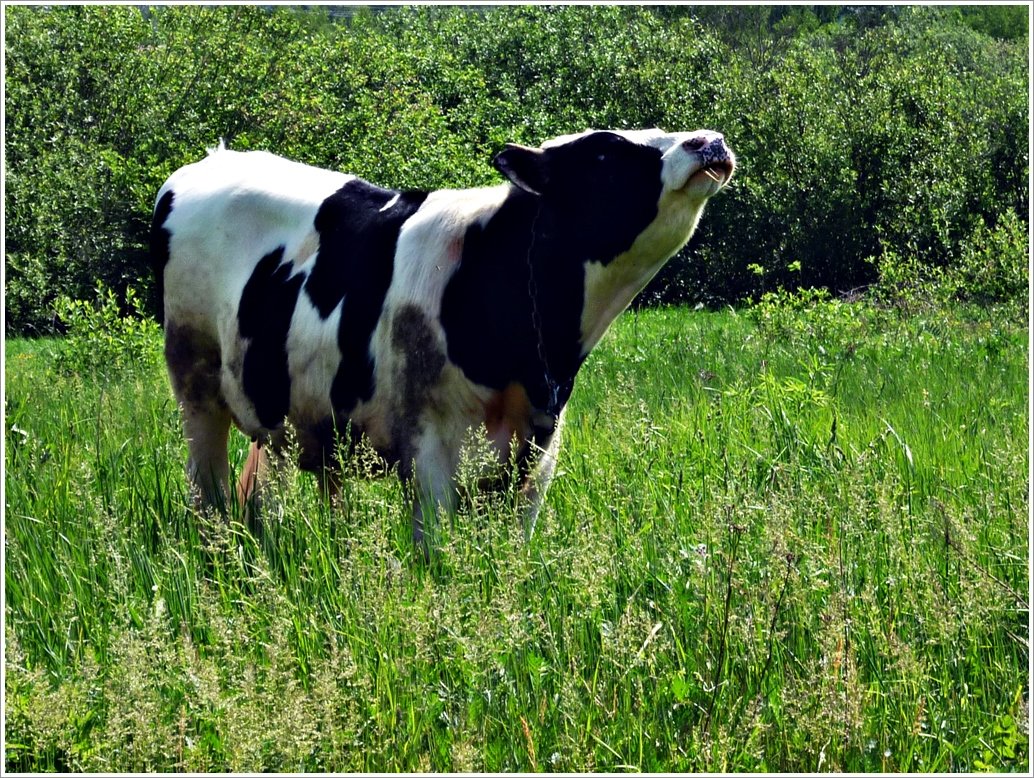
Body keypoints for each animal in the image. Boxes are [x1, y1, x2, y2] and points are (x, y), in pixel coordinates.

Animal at [150, 127, 736, 546]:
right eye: (605, 152)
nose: (709, 140)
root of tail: (213, 158)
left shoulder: (537, 454)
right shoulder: (428, 446)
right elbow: (436, 557)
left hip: (302, 409)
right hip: (195, 381)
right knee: (207, 483)